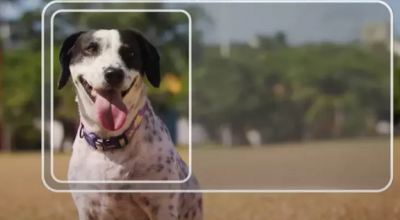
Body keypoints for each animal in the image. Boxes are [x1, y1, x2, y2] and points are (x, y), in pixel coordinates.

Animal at [58, 29, 203, 220]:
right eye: (91, 49)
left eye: (130, 54)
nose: (113, 74)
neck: (110, 143)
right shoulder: (86, 208)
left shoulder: (162, 207)